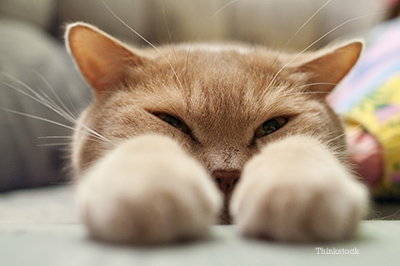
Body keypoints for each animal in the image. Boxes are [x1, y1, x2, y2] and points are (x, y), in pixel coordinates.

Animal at [66, 21, 368, 244]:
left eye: (272, 126)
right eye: (171, 121)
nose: (227, 176)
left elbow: (300, 147)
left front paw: (298, 190)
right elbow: (145, 144)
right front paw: (150, 189)